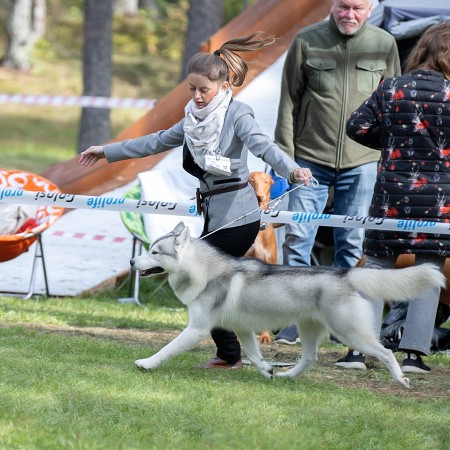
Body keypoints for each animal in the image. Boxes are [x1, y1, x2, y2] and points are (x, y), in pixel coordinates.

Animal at [79, 31, 312, 370]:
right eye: (195, 91)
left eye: (155, 251)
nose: (133, 262)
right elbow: (154, 139)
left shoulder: (200, 321)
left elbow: (173, 345)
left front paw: (148, 362)